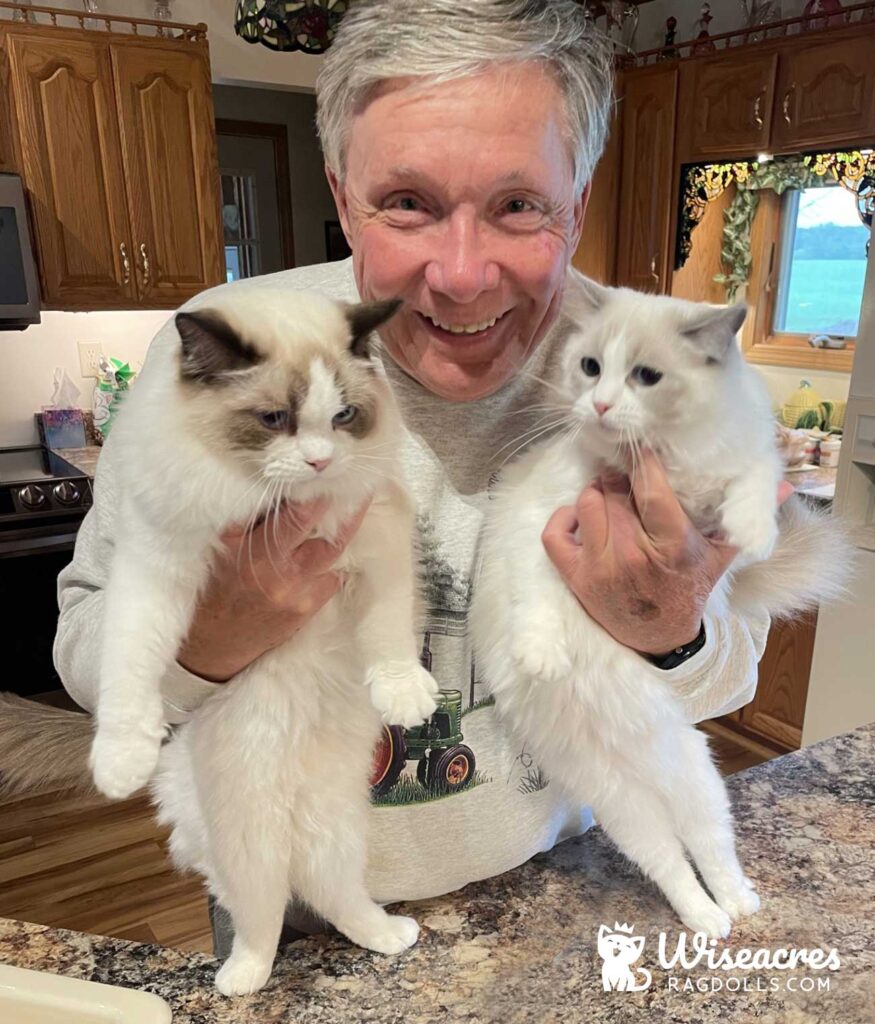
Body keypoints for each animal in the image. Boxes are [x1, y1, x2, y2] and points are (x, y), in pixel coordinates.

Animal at [473, 276, 856, 937]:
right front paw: (542, 656)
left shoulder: (739, 471)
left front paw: (754, 530)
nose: (600, 405)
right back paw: (709, 919)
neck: (660, 465)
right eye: (591, 367)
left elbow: (754, 480)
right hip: (631, 811)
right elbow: (539, 601)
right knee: (674, 867)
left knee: (711, 850)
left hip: (696, 788)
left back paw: (737, 907)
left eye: (646, 376)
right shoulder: (544, 529)